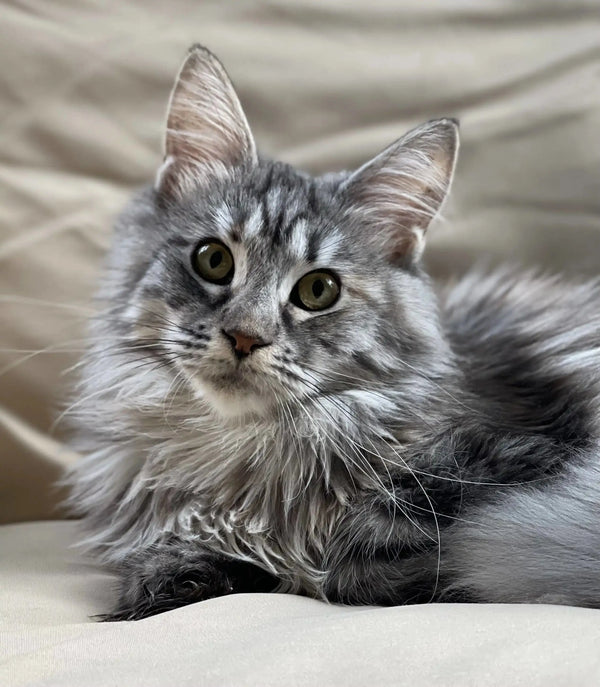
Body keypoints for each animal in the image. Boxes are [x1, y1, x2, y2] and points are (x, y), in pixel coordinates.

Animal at [68, 44, 600, 624]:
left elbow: (364, 559)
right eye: (213, 260)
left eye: (318, 290)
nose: (245, 337)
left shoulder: (505, 465)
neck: (239, 457)